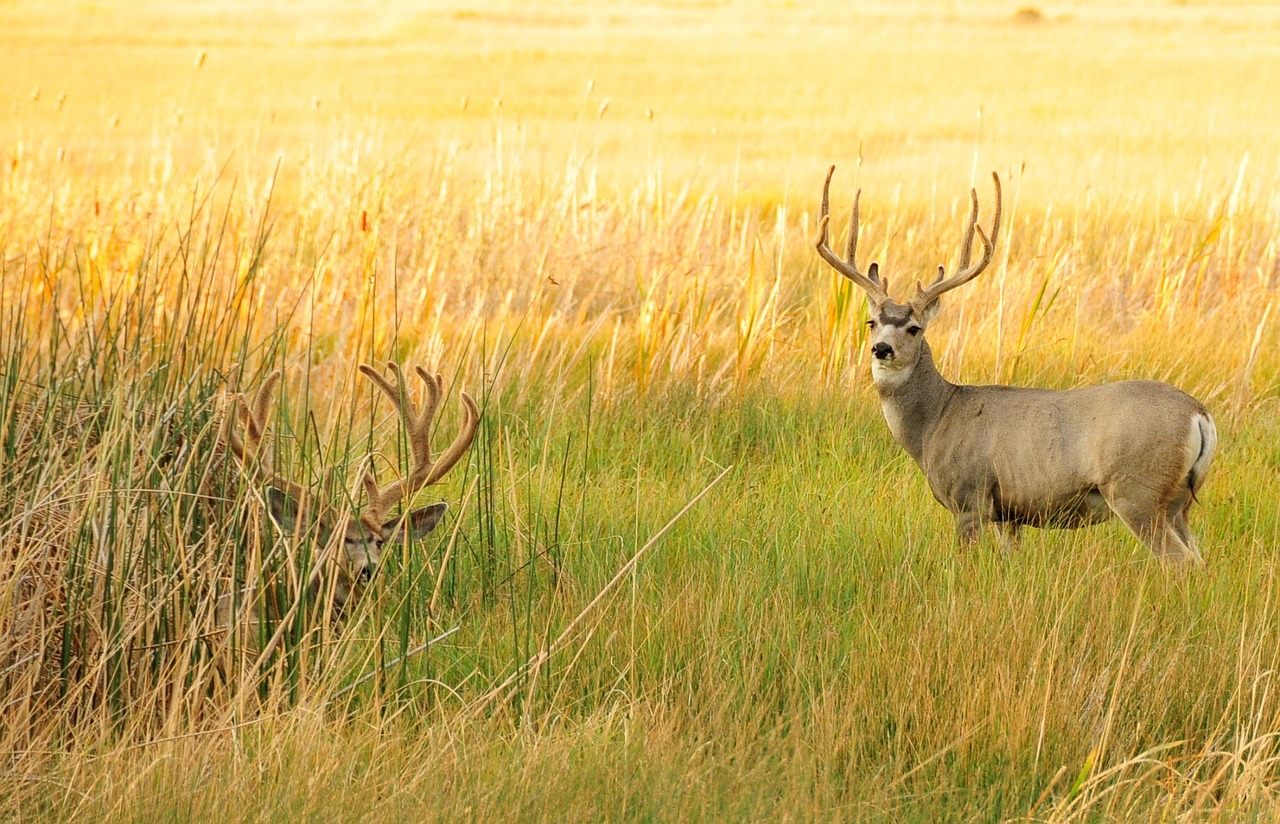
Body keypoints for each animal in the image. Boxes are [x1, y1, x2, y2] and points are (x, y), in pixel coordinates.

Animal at [814, 167, 1213, 565]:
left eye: (914, 328)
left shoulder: (969, 495)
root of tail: (1200, 415)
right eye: (871, 323)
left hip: (1137, 491)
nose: (881, 348)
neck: (934, 422)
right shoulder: (1009, 513)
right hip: (1178, 504)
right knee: (1199, 559)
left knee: (1180, 562)